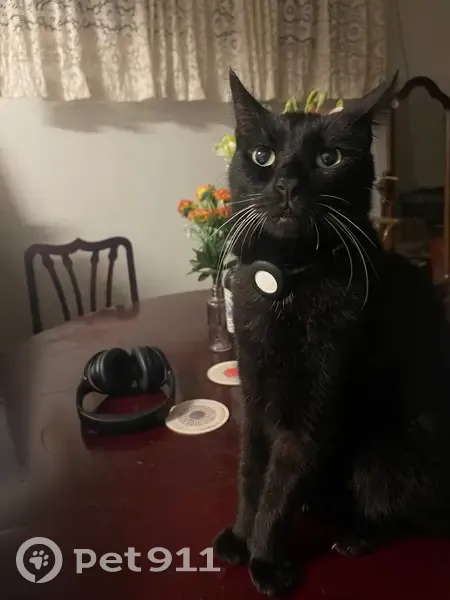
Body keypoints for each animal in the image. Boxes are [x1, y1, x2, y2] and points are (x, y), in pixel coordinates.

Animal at [212, 70, 450, 597]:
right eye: (262, 155)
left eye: (329, 159)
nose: (286, 184)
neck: (286, 282)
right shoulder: (253, 394)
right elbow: (249, 472)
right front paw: (239, 535)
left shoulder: (314, 408)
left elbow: (281, 486)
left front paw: (266, 558)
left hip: (383, 453)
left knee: (403, 511)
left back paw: (357, 535)